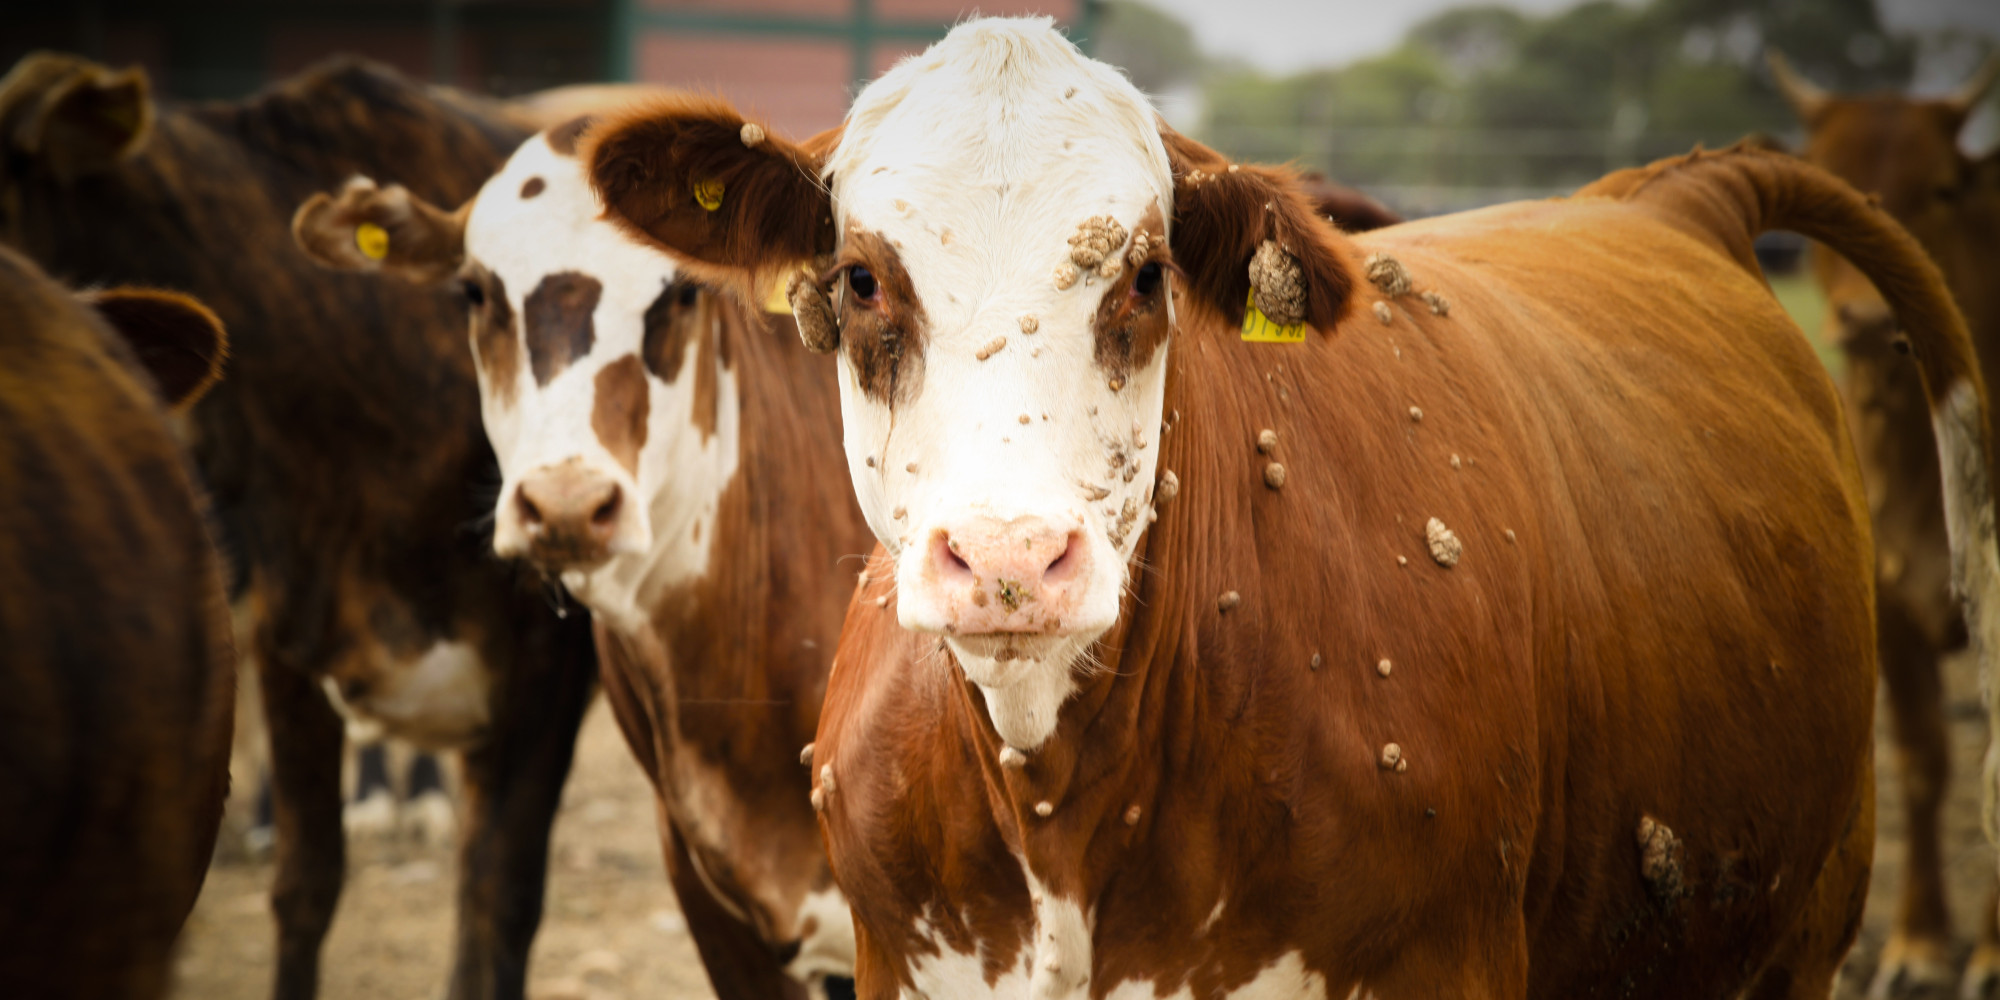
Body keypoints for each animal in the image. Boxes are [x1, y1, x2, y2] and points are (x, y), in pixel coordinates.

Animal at [582, 18, 2000, 998]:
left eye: (1146, 273)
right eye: (862, 278)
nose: (1008, 557)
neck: (1063, 812)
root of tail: (1673, 193)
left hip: (1803, 923)